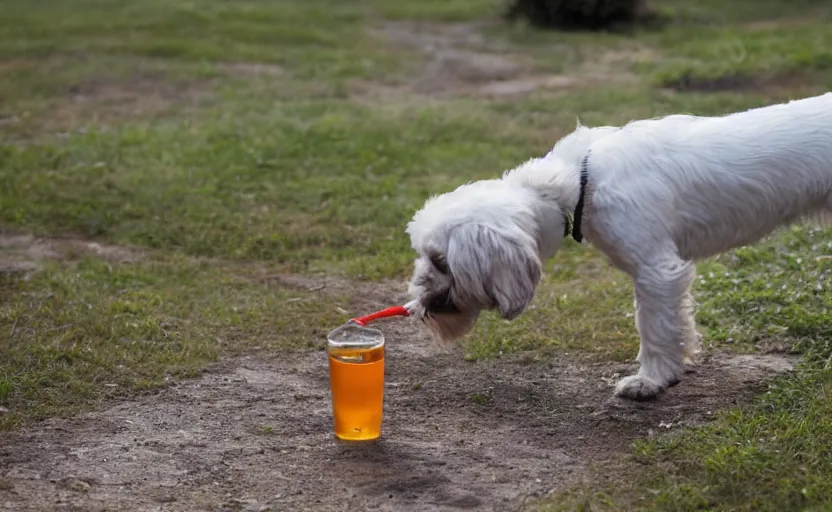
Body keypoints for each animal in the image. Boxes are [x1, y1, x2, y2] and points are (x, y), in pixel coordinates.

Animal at [404, 94, 832, 402]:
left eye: (440, 261)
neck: (580, 181)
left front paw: (651, 380)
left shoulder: (657, 272)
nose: (417, 306)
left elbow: (654, 328)